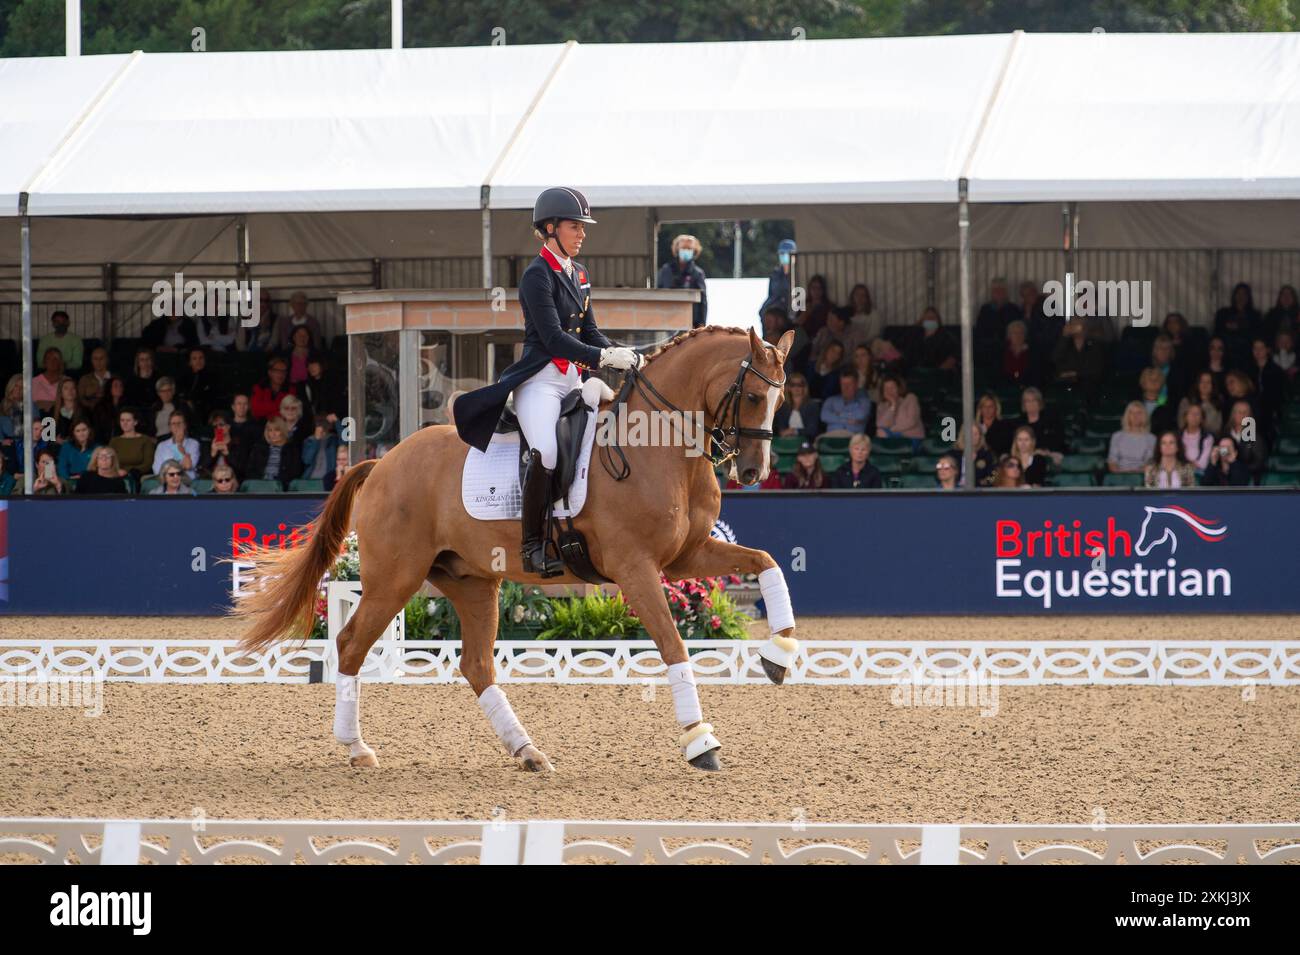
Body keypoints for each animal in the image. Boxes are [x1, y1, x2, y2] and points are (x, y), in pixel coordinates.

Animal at [236, 324, 800, 774]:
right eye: (754, 396)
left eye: (780, 400)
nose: (754, 470)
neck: (658, 449)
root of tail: (383, 462)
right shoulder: (635, 567)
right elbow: (675, 647)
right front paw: (701, 742)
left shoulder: (687, 556)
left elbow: (768, 563)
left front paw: (779, 657)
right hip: (394, 580)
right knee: (352, 644)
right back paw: (356, 747)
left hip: (471, 582)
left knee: (476, 665)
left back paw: (527, 751)